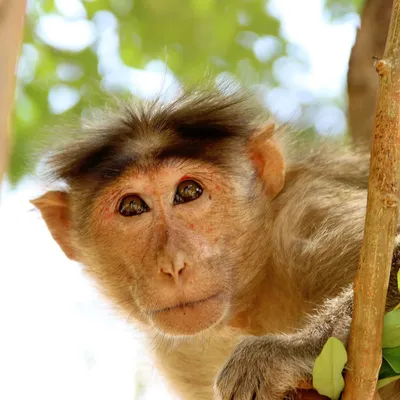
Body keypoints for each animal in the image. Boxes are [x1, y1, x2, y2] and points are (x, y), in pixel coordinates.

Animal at [32, 88, 400, 400]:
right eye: (132, 207)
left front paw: (279, 354)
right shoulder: (181, 356)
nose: (173, 264)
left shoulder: (312, 216)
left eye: (188, 191)